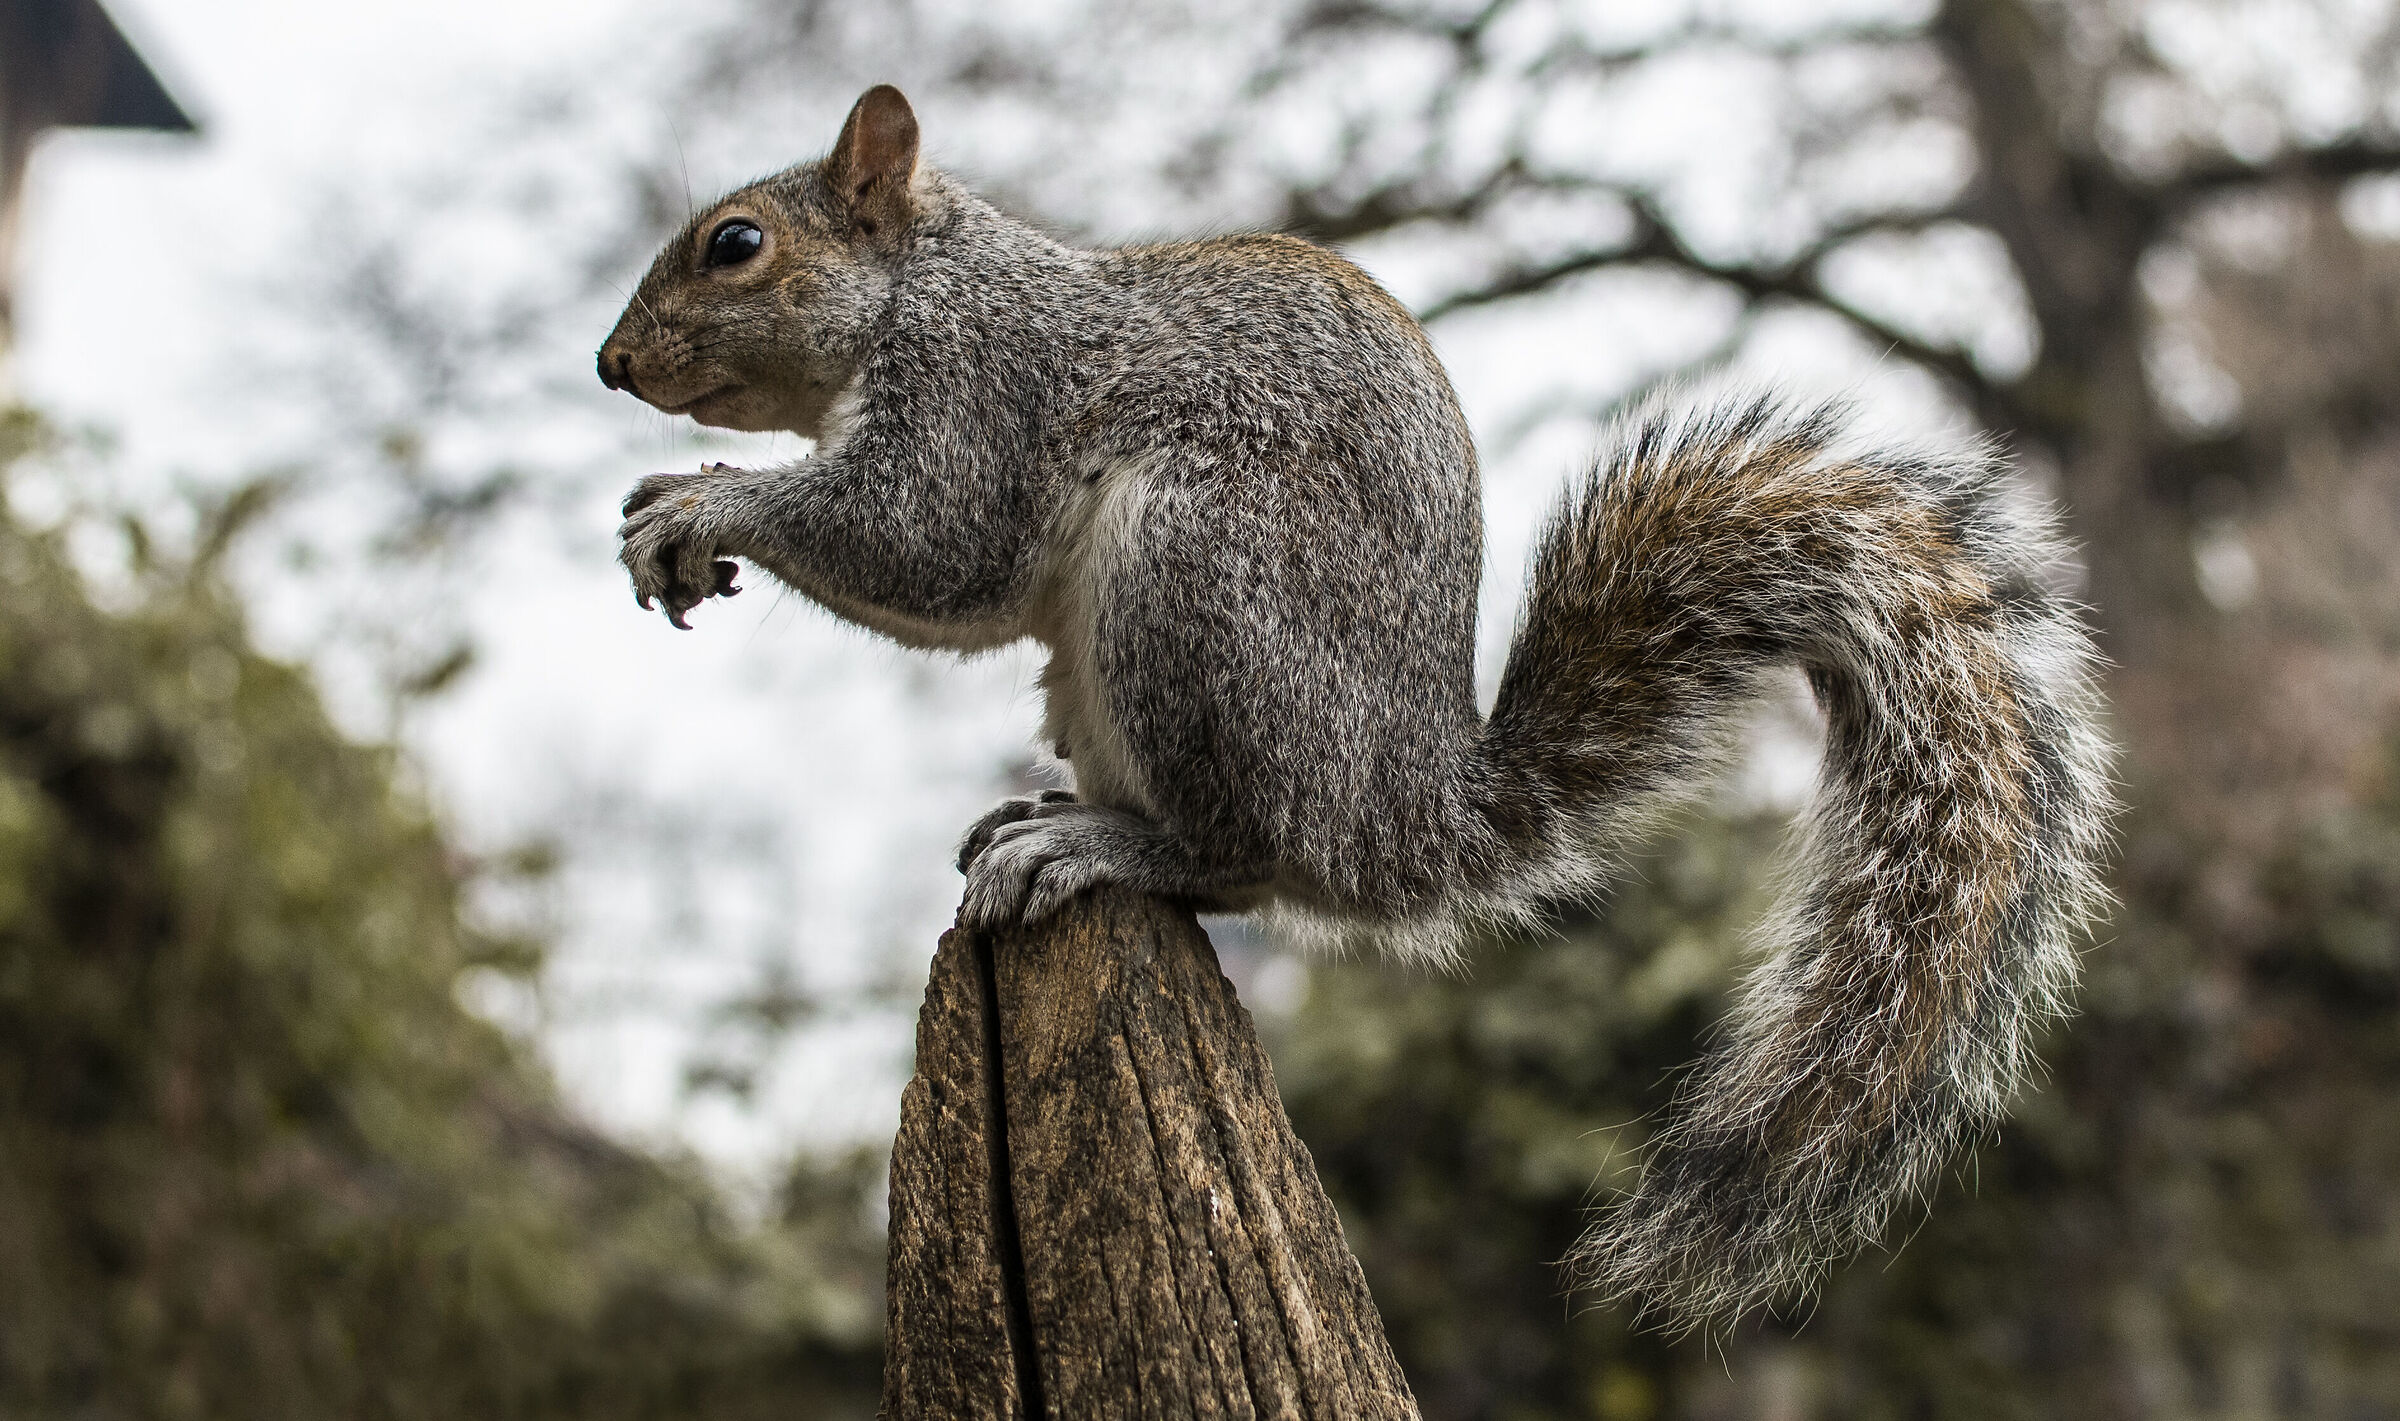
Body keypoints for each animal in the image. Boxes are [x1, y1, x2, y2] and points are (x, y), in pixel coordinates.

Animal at [597, 85, 2116, 1327]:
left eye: (736, 244)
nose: (612, 365)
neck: (924, 285)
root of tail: (1402, 804)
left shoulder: (984, 392)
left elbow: (926, 538)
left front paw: (701, 504)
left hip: (1198, 582)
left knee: (1242, 854)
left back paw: (1096, 842)